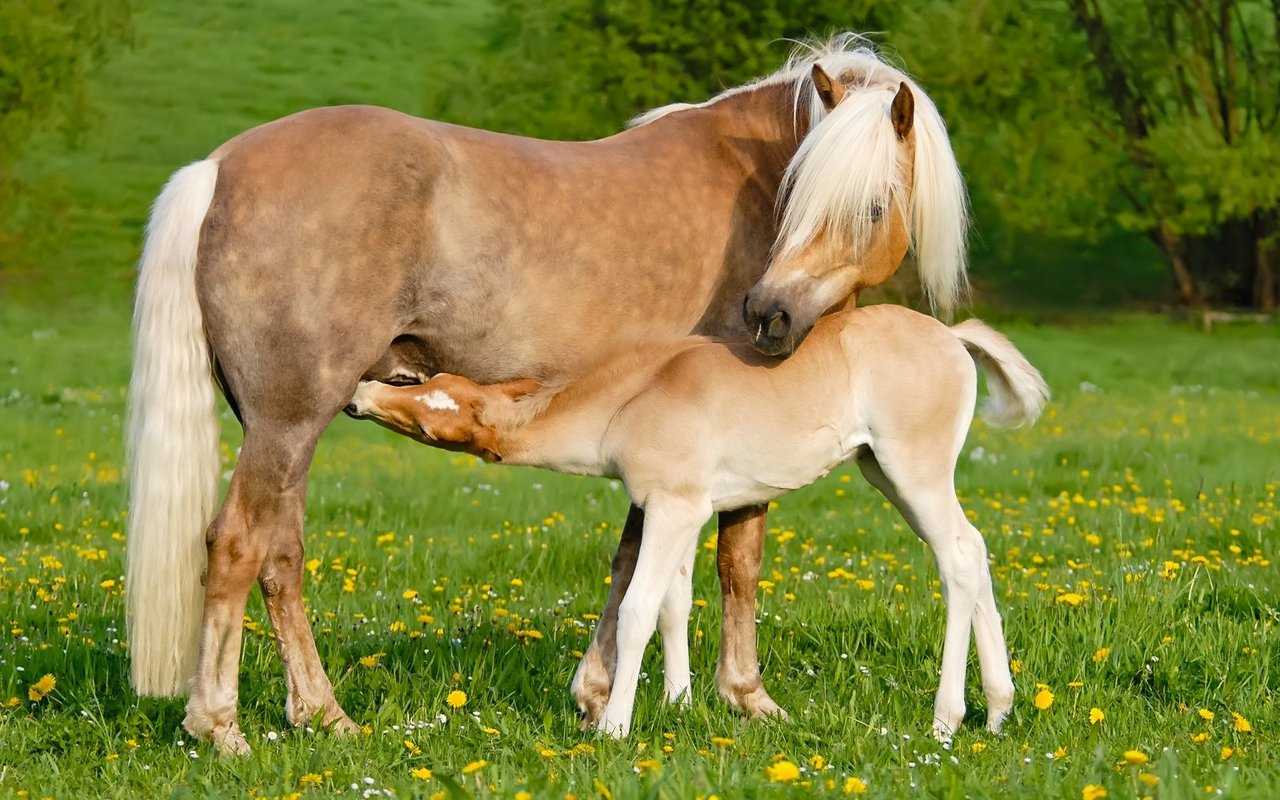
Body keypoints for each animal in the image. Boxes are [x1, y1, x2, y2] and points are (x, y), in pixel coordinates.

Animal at [125, 34, 969, 755]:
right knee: (237, 545)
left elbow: (636, 559)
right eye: (798, 199)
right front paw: (745, 698)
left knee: (280, 553)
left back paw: (323, 715)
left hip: (284, 427)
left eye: (869, 207)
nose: (769, 316)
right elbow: (735, 558)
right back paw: (221, 727)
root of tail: (218, 168)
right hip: (289, 419)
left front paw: (601, 694)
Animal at [346, 304, 1047, 739]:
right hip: (885, 472)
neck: (633, 399)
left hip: (913, 471)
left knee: (957, 559)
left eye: (432, 420)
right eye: (427, 381)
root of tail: (952, 335)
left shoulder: (673, 507)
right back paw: (998, 709)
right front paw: (677, 705)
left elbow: (636, 610)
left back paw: (947, 719)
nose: (358, 394)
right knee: (975, 547)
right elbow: (672, 605)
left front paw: (616, 725)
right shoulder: (682, 512)